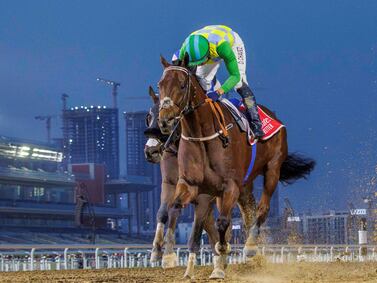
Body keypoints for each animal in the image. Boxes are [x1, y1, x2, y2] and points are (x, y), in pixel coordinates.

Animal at [156, 55, 314, 280]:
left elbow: (222, 223)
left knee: (262, 208)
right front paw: (170, 257)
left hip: (272, 169)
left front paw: (221, 258)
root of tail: (273, 116)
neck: (203, 135)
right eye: (160, 85)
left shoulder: (229, 186)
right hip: (244, 186)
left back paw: (250, 247)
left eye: (182, 84)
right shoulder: (191, 185)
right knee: (248, 212)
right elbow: (176, 210)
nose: (165, 120)